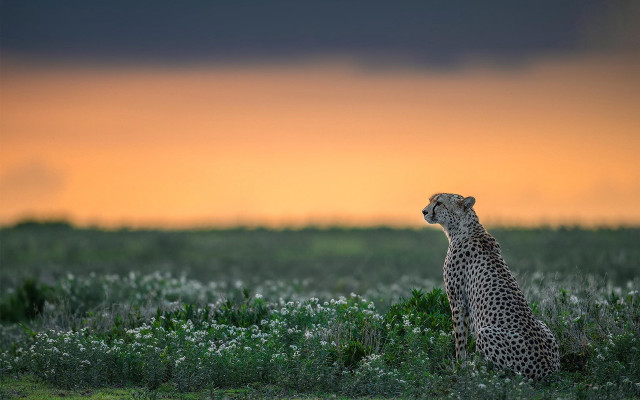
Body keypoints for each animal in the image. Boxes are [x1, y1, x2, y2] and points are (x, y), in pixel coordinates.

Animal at [422, 193, 560, 379]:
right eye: (431, 200)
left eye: (439, 203)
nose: (424, 211)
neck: (465, 228)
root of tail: (550, 371)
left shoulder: (457, 302)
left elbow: (460, 340)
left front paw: (459, 368)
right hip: (543, 325)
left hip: (486, 332)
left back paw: (474, 370)